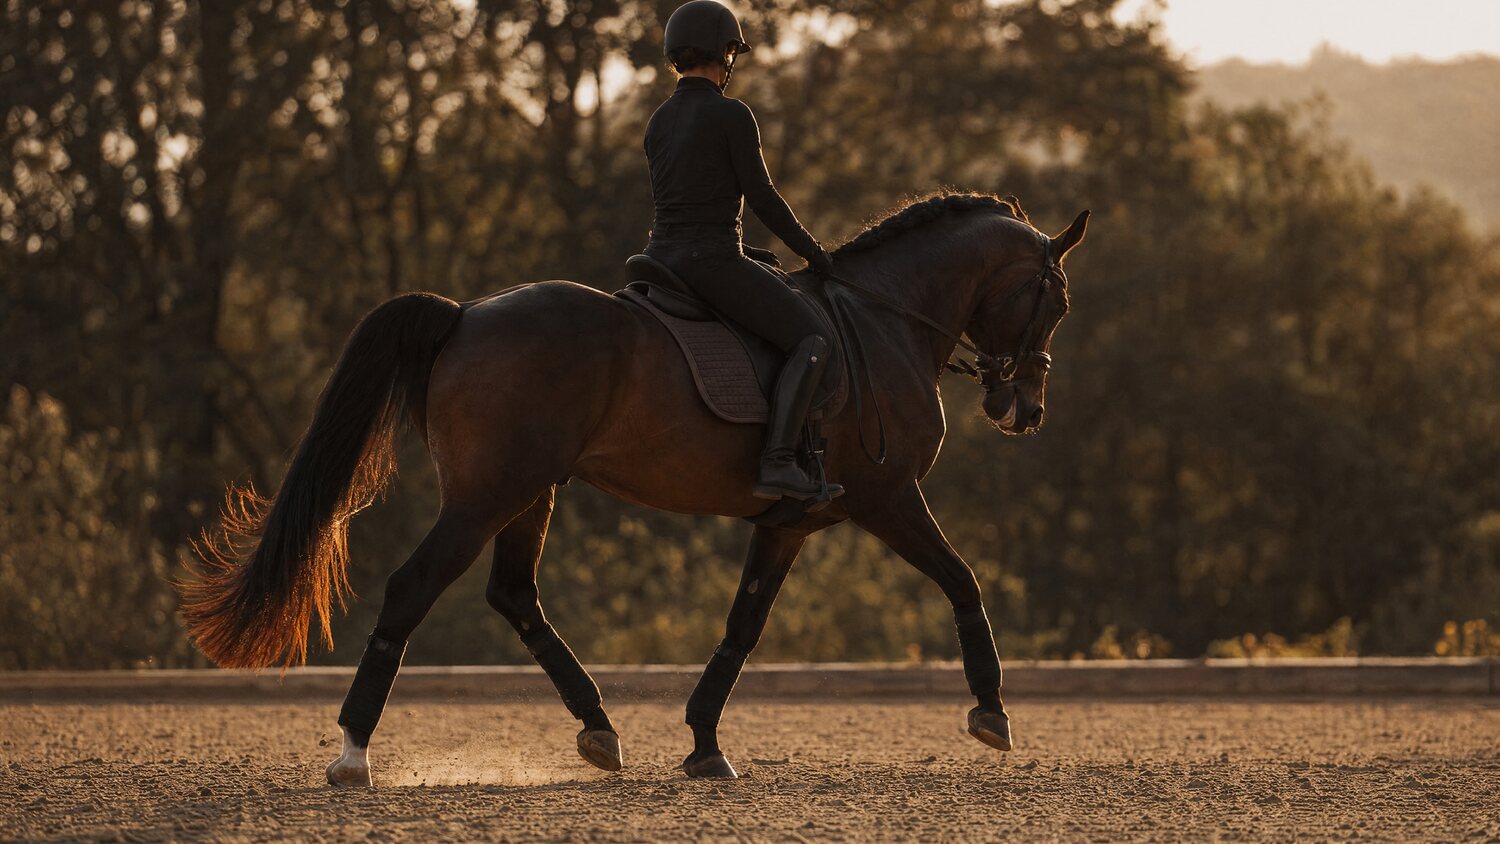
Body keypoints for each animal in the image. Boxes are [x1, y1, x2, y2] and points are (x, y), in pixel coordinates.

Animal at [179, 191, 1088, 785]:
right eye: (1056, 299)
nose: (1024, 408)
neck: (885, 318)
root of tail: (466, 314)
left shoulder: (790, 521)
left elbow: (744, 626)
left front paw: (705, 744)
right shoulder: (887, 498)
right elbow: (963, 581)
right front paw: (992, 713)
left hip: (530, 491)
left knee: (514, 596)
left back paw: (599, 729)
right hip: (487, 495)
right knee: (413, 589)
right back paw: (353, 753)